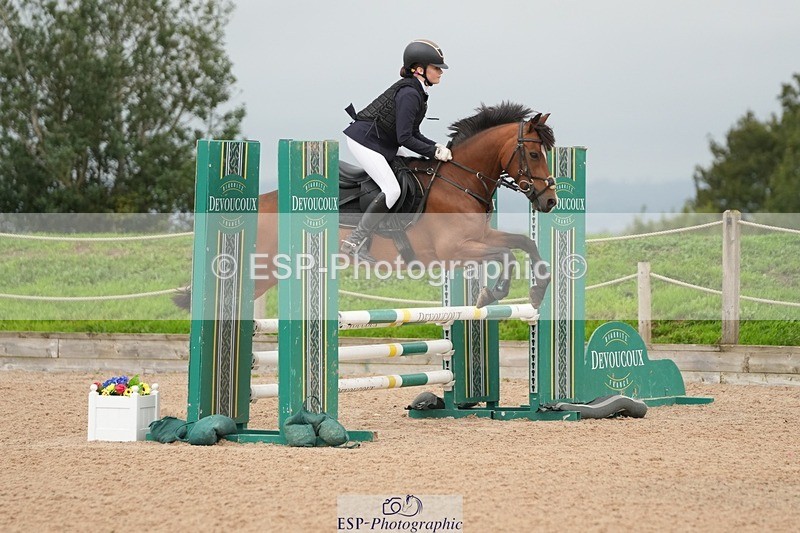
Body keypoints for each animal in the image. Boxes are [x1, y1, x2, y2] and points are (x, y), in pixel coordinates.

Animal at [175, 102, 558, 310]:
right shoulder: (454, 249)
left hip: (266, 273)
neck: (458, 180)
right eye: (534, 154)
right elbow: (506, 255)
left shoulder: (478, 238)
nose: (550, 200)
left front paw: (536, 292)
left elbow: (523, 243)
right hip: (263, 267)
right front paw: (493, 293)